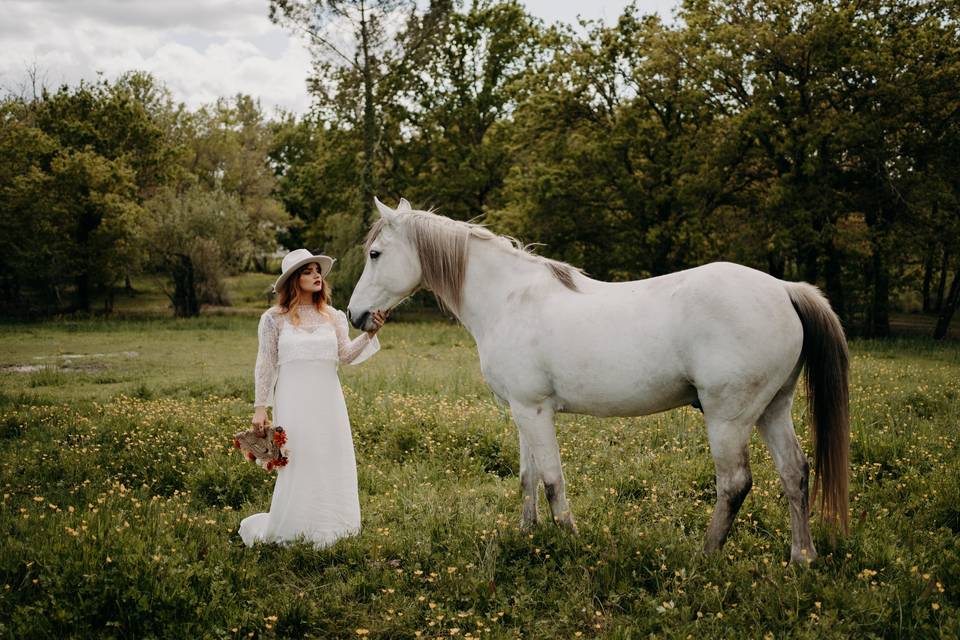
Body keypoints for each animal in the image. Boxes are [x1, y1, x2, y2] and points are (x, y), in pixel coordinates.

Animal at [347, 198, 849, 563]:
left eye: (375, 254)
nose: (354, 315)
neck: (510, 299)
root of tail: (783, 289)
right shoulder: (522, 412)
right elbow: (528, 477)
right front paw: (527, 535)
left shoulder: (535, 410)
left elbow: (551, 479)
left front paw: (570, 539)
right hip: (772, 409)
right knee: (794, 473)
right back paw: (801, 557)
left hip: (728, 418)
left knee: (735, 484)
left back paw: (704, 556)